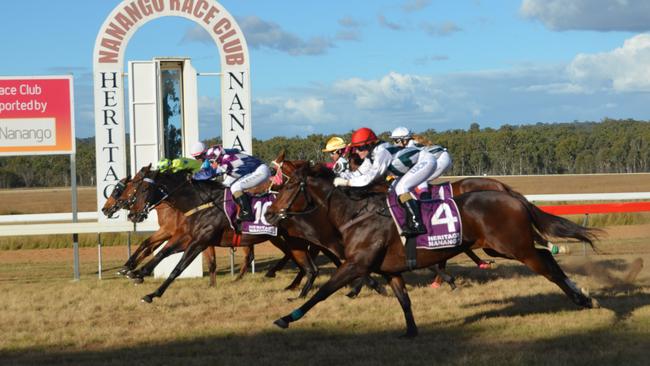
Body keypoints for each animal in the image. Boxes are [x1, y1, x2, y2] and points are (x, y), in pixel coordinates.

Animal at [266, 165, 600, 338]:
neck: (356, 214)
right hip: (501, 247)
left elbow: (323, 292)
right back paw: (583, 295)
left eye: (287, 187)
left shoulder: (357, 263)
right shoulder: (390, 270)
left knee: (547, 266)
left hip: (514, 247)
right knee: (547, 256)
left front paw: (287, 317)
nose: (269, 213)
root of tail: (512, 196)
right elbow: (404, 300)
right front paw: (411, 331)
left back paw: (582, 299)